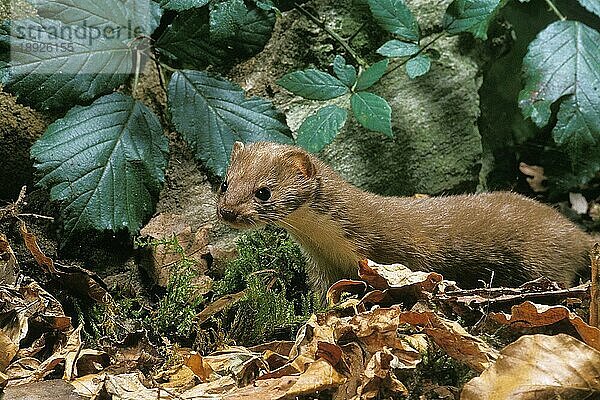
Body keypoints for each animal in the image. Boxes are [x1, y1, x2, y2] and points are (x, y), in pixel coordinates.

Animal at [216, 141, 592, 294]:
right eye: (225, 183)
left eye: (263, 191)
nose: (227, 211)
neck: (329, 241)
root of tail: (577, 233)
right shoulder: (320, 263)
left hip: (542, 256)